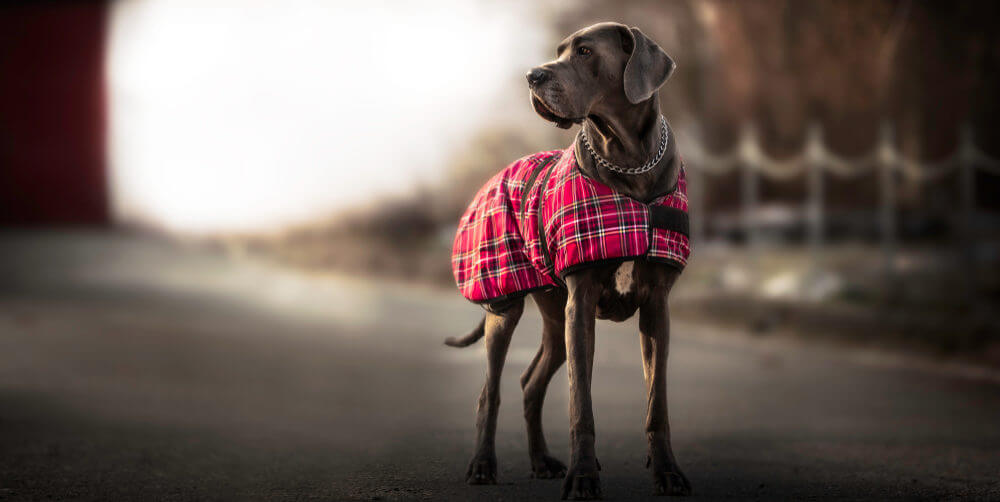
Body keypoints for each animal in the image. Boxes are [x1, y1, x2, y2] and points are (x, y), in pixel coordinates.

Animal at [448, 21, 692, 500]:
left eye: (583, 52)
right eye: (558, 51)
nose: (532, 75)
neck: (630, 162)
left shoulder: (656, 306)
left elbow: (657, 403)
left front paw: (668, 472)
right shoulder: (580, 305)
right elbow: (582, 404)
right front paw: (583, 477)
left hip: (553, 315)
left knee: (529, 384)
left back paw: (541, 460)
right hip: (505, 308)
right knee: (490, 391)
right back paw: (483, 465)